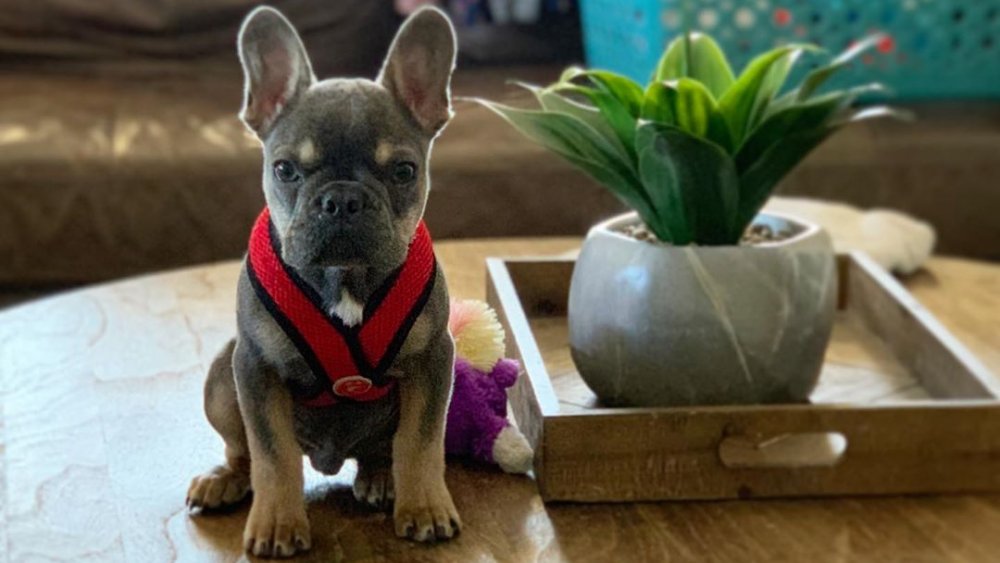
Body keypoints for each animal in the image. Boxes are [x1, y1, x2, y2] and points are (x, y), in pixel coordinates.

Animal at [187, 5, 460, 560]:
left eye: (404, 171)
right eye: (285, 169)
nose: (343, 199)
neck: (344, 276)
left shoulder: (432, 361)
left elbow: (420, 442)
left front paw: (424, 506)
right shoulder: (256, 367)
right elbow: (272, 455)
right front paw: (276, 523)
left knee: (383, 450)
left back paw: (381, 477)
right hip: (223, 377)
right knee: (243, 451)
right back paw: (225, 481)